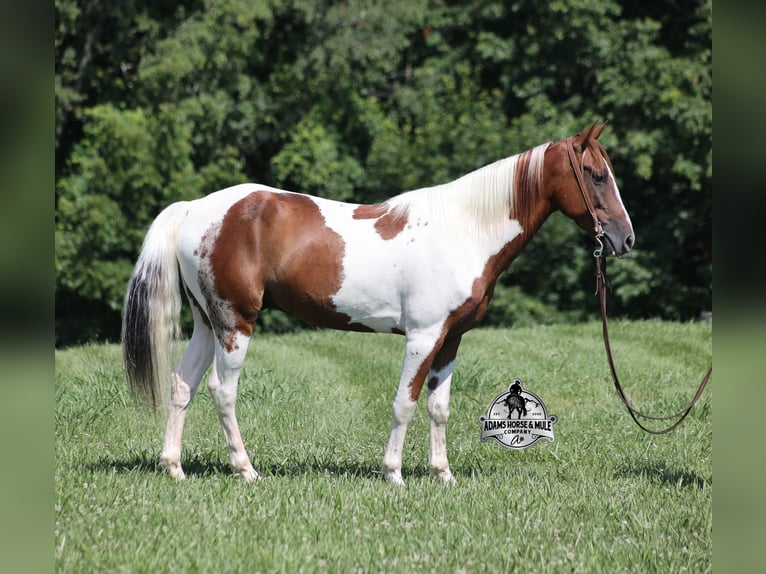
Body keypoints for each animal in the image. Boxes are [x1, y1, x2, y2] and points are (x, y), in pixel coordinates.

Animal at [122, 121, 634, 485]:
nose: (625, 239)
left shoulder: (451, 340)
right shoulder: (423, 337)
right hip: (236, 322)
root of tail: (195, 208)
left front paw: (443, 475)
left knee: (183, 385)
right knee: (221, 391)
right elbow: (404, 402)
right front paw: (394, 474)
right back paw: (246, 470)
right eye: (595, 175)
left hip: (207, 323)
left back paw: (174, 467)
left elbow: (438, 407)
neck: (464, 232)